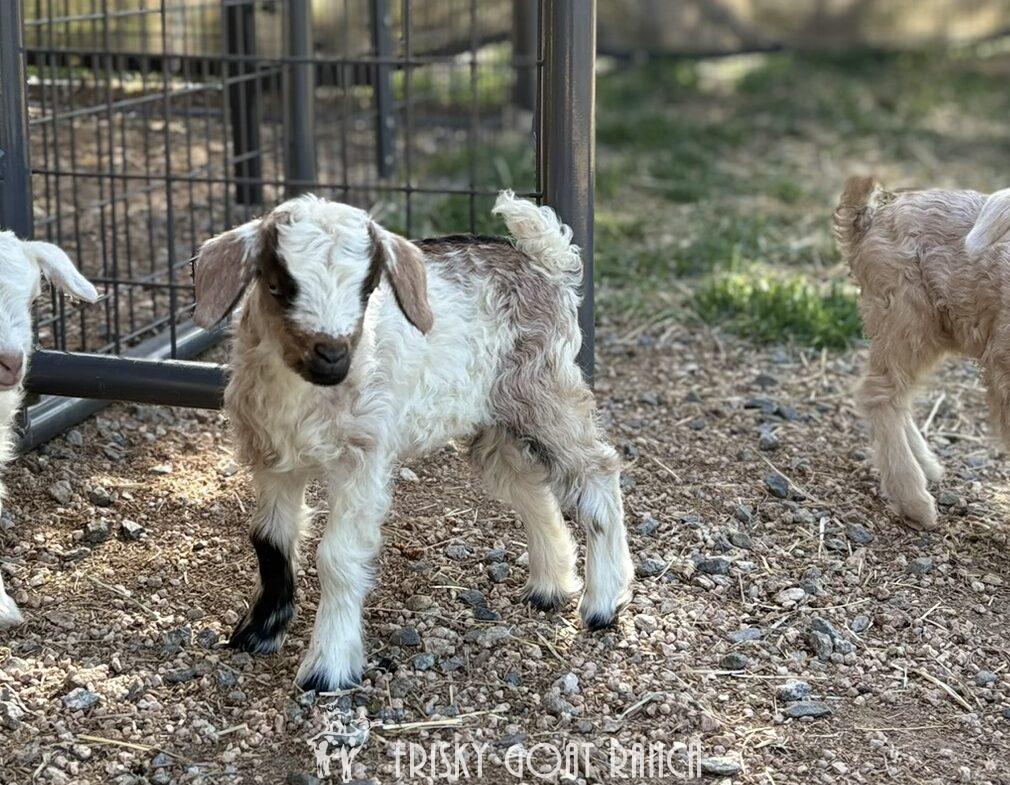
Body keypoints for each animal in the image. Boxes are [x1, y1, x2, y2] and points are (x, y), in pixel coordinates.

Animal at [192, 192, 634, 692]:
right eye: (278, 285)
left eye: (367, 288)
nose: (333, 356)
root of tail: (545, 259)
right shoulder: (272, 456)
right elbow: (269, 540)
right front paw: (259, 631)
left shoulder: (364, 456)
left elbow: (337, 556)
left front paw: (328, 667)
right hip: (494, 422)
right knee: (529, 487)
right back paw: (551, 586)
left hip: (545, 391)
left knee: (597, 469)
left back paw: (603, 603)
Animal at [835, 176, 1010, 529]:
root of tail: (869, 217)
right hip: (905, 316)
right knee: (878, 394)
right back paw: (915, 501)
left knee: (898, 394)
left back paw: (927, 466)